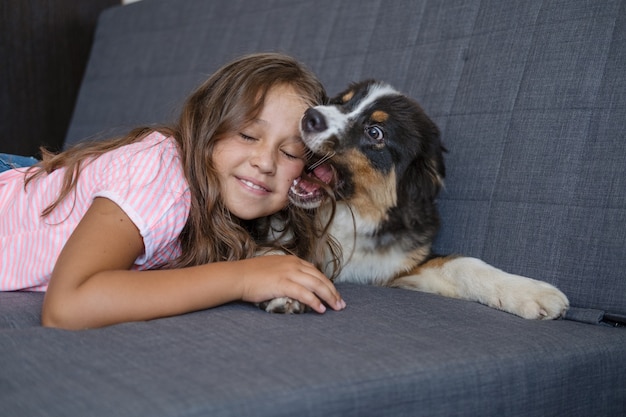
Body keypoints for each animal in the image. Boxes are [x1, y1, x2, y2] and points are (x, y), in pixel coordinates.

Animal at [260, 79, 568, 318]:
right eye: (339, 102)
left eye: (375, 132)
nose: (309, 115)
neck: (353, 216)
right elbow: (273, 250)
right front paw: (284, 286)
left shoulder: (397, 266)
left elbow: (462, 263)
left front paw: (531, 292)